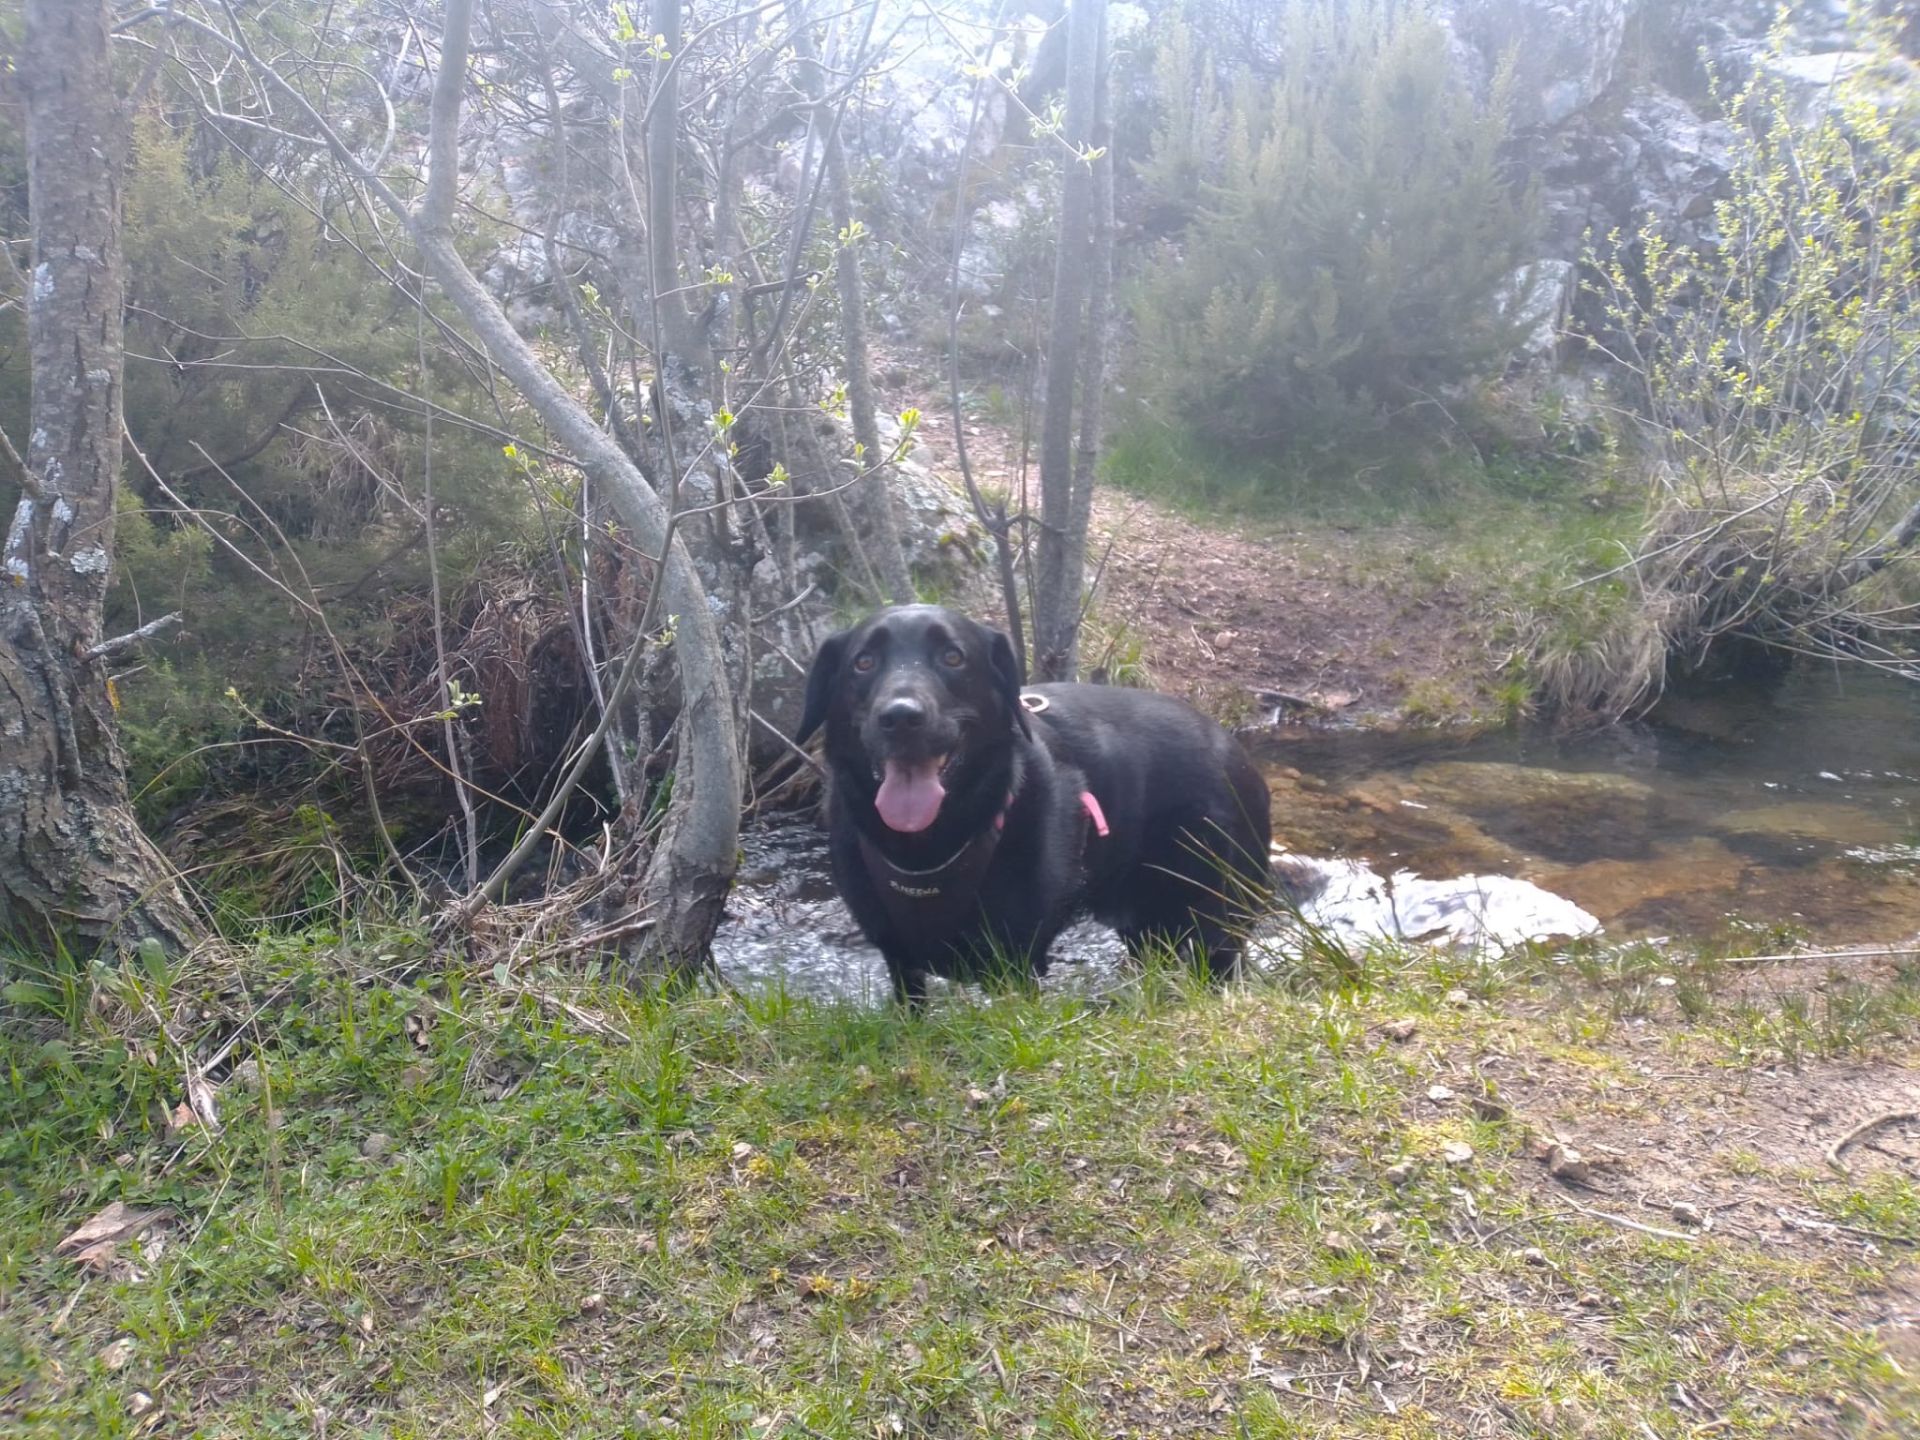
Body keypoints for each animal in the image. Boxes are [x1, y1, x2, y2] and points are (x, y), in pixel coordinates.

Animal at [794, 606, 1274, 1006]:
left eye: (953, 657)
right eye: (863, 662)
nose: (900, 716)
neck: (928, 850)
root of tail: (1234, 747)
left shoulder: (1018, 964)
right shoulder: (899, 959)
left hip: (1220, 919)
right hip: (1144, 924)